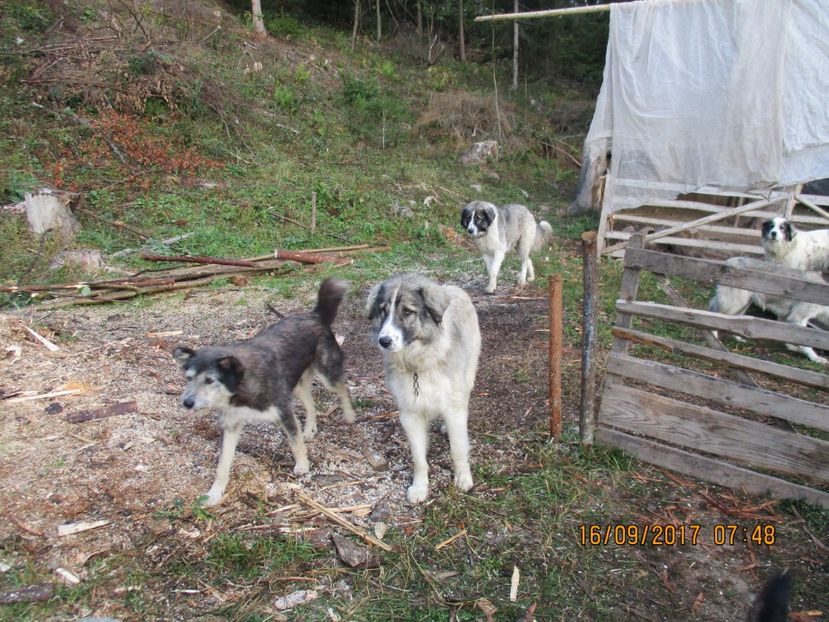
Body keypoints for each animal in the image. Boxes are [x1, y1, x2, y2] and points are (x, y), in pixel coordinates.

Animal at [173, 280, 354, 510]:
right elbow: (223, 465)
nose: (187, 402)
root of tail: (315, 315)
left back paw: (349, 415)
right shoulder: (231, 425)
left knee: (343, 388)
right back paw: (309, 429)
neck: (240, 387)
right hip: (296, 386)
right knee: (311, 404)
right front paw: (214, 493)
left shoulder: (284, 412)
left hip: (326, 375)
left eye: (209, 380)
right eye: (188, 378)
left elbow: (295, 443)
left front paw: (303, 466)